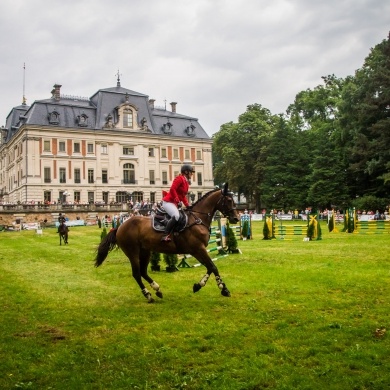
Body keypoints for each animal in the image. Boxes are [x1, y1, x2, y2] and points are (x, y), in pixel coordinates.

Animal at [95, 184, 239, 304]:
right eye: (229, 200)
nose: (236, 218)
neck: (198, 219)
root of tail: (120, 227)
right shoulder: (198, 249)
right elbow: (213, 267)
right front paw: (223, 289)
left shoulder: (198, 250)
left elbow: (210, 267)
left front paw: (198, 286)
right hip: (133, 253)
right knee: (136, 274)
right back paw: (148, 295)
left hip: (145, 251)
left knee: (143, 272)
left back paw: (157, 289)